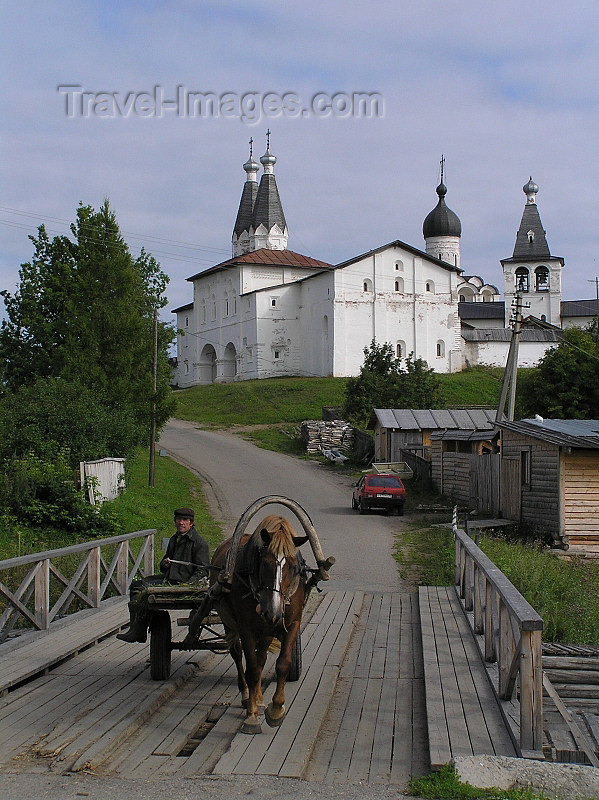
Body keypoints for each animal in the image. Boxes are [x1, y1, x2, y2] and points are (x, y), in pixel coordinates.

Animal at [211, 516, 310, 736]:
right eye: (265, 563)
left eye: (293, 566)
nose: (272, 612)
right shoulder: (246, 628)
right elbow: (252, 669)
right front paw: (252, 716)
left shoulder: (292, 623)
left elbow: (282, 663)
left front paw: (276, 709)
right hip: (230, 622)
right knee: (238, 654)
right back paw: (247, 695)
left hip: (266, 631)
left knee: (262, 657)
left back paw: (258, 698)